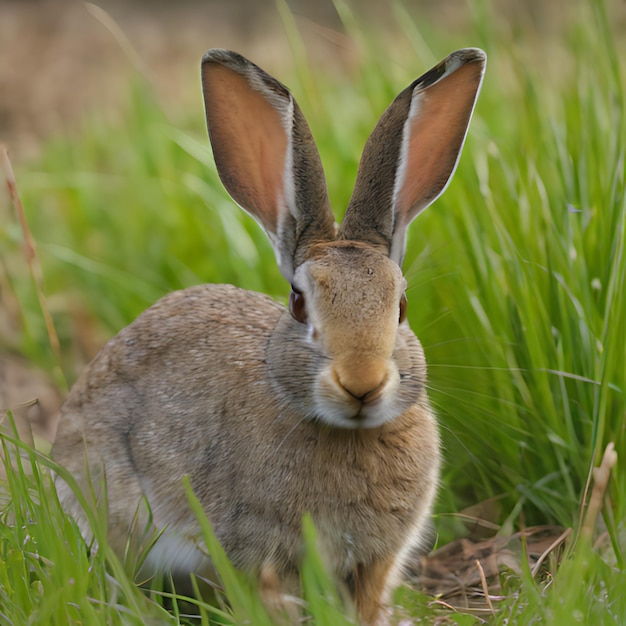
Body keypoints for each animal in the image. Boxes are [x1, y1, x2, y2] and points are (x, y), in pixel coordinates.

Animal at [52, 46, 482, 620]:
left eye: (402, 306)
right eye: (299, 303)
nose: (362, 383)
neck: (348, 432)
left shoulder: (377, 558)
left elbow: (366, 599)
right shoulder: (258, 550)